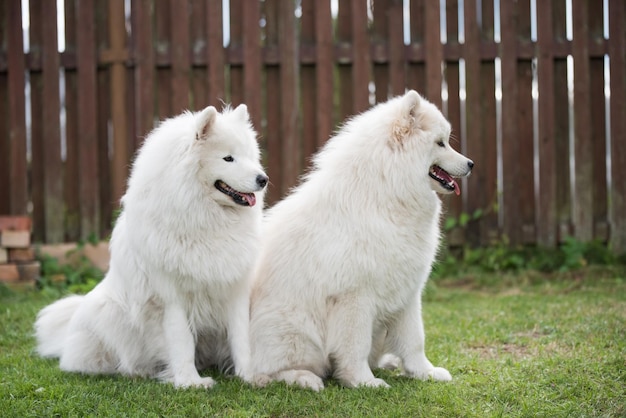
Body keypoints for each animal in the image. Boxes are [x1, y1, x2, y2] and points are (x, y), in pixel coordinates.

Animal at [34, 103, 266, 388]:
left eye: (249, 156)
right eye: (228, 158)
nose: (263, 179)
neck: (203, 219)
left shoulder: (235, 289)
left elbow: (241, 339)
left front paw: (249, 377)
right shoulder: (172, 297)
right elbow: (182, 341)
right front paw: (190, 382)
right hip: (109, 313)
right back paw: (139, 371)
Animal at [246, 90, 470, 390]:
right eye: (440, 143)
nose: (471, 164)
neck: (386, 193)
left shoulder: (408, 292)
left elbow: (414, 341)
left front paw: (425, 372)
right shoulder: (355, 297)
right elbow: (355, 346)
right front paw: (363, 381)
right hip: (296, 331)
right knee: (264, 372)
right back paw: (305, 378)